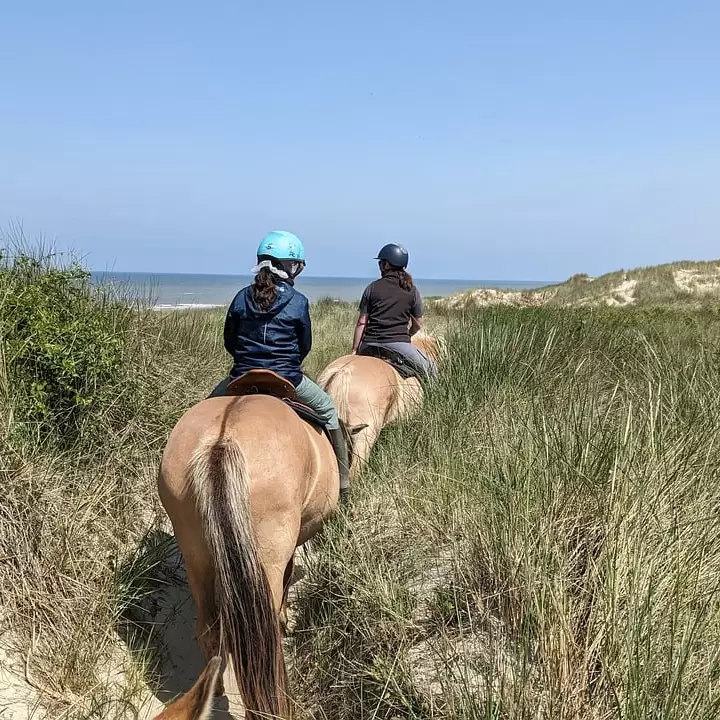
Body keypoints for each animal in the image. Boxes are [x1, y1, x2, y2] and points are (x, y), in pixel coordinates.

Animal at [156, 370, 362, 720]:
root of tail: (221, 442)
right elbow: (290, 577)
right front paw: (287, 618)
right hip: (267, 558)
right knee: (265, 642)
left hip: (196, 555)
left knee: (209, 629)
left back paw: (214, 689)